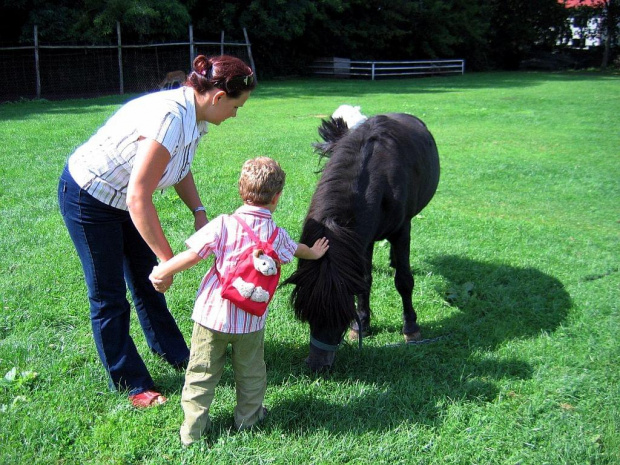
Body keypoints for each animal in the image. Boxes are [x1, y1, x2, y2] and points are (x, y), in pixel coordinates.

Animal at [286, 110, 440, 372]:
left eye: (340, 315)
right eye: (308, 314)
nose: (317, 365)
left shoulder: (401, 231)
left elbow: (404, 281)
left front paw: (411, 328)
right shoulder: (361, 240)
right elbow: (364, 281)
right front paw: (362, 326)